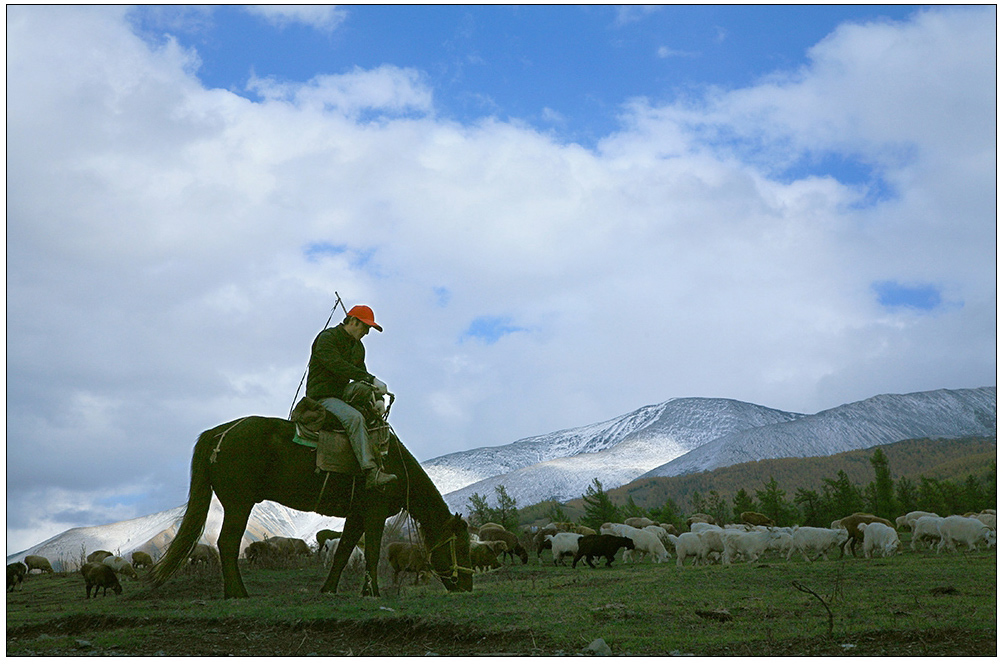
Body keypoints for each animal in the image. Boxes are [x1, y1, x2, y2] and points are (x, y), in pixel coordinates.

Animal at [148, 417, 473, 597]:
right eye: (459, 546)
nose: (467, 586)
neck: (394, 467)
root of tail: (220, 433)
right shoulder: (375, 513)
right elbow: (371, 552)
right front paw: (372, 592)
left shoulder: (357, 515)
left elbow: (343, 553)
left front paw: (329, 589)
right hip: (239, 503)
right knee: (227, 543)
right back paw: (237, 593)